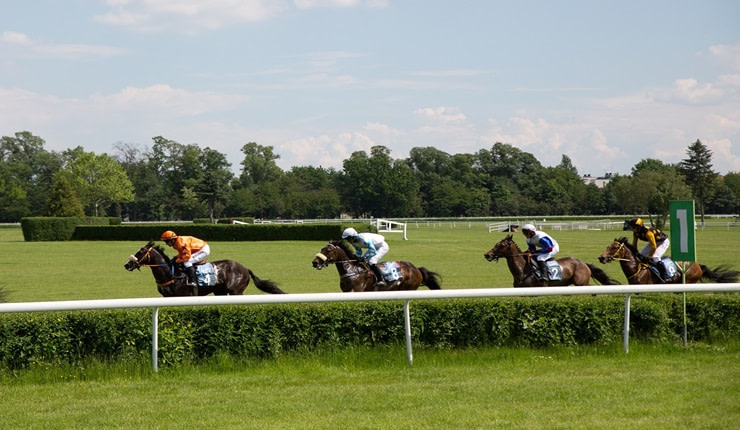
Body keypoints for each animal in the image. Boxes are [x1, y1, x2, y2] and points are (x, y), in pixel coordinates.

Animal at [124, 240, 286, 298]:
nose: (127, 264)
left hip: (236, 291)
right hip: (220, 291)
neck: (171, 274)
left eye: (140, 252)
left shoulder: (185, 296)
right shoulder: (167, 297)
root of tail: (245, 268)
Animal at [310, 239, 442, 292]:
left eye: (327, 251)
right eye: (321, 249)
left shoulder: (356, 291)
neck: (352, 271)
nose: (315, 262)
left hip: (409, 288)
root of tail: (416, 269)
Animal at [596, 237, 740, 284]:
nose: (601, 257)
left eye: (614, 247)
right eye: (607, 246)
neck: (637, 269)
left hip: (688, 281)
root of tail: (698, 265)